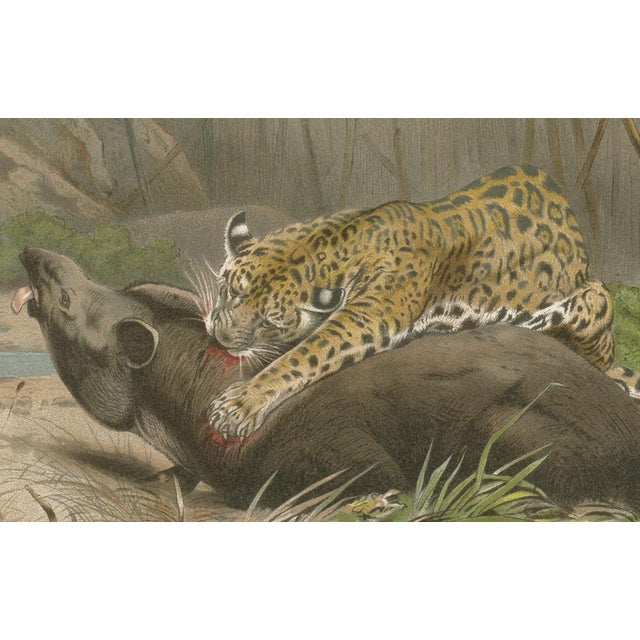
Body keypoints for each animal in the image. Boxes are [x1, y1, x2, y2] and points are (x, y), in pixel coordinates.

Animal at [205, 164, 640, 439]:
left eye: (268, 323)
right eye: (228, 290)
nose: (220, 340)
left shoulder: (370, 316)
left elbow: (305, 354)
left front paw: (242, 402)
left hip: (594, 302)